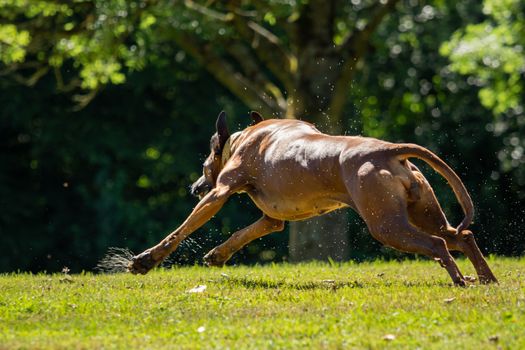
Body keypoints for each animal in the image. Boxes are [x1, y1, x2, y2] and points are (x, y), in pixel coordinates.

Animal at [127, 110, 496, 286]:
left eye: (205, 164)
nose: (194, 186)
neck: (246, 136)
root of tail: (388, 151)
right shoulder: (271, 219)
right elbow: (245, 233)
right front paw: (219, 254)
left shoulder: (218, 193)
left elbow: (181, 230)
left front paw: (145, 260)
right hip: (423, 209)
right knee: (461, 235)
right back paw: (486, 278)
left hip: (385, 224)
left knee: (437, 244)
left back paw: (460, 280)